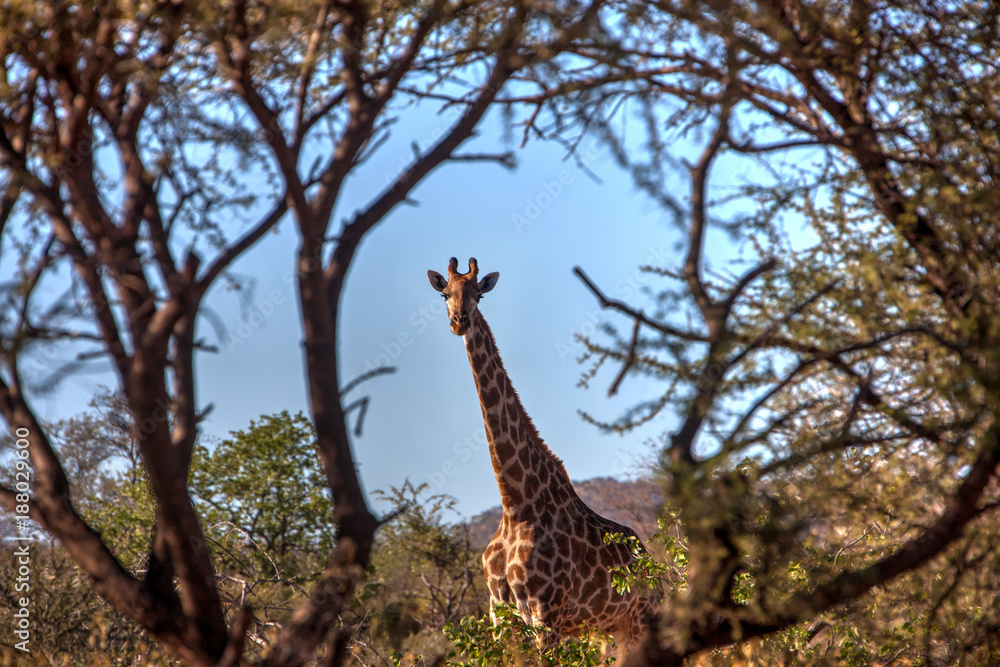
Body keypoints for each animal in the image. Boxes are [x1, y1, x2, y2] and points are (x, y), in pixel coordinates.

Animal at [427, 257, 658, 649]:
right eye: (445, 293)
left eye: (479, 295)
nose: (460, 321)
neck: (515, 503)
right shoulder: (500, 615)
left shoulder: (546, 615)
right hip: (605, 631)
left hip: (643, 618)